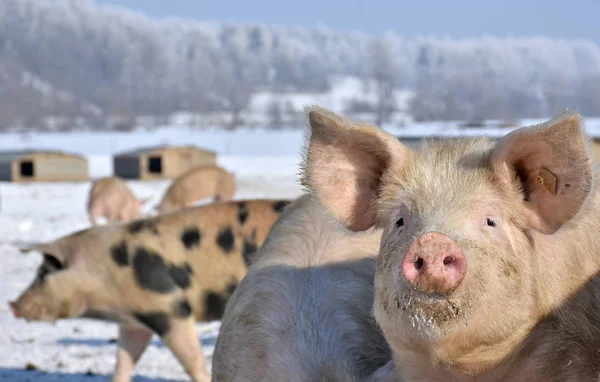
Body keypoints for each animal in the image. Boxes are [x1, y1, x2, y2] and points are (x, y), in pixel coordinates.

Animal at [8, 198, 290, 382]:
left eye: (44, 273)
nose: (12, 305)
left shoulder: (169, 307)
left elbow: (192, 360)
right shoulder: (134, 321)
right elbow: (124, 360)